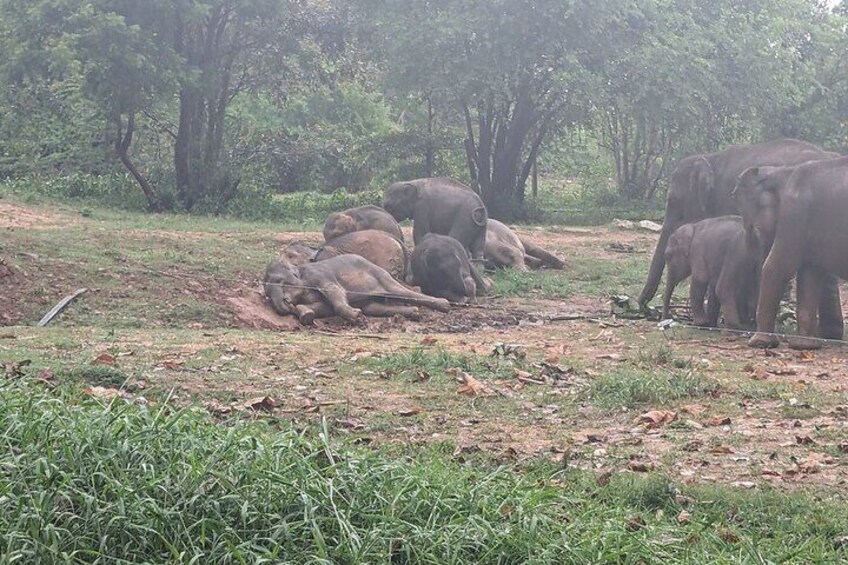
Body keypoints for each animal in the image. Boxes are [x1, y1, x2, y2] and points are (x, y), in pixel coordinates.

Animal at [264, 254, 450, 325]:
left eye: (282, 282)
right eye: (267, 295)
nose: (287, 302)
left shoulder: (319, 275)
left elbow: (335, 293)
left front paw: (357, 317)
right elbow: (325, 307)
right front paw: (306, 315)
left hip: (380, 276)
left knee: (399, 292)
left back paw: (444, 305)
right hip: (373, 299)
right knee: (375, 308)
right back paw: (414, 313)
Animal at [733, 159, 848, 349]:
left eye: (754, 229)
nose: (746, 325)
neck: (783, 171)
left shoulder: (795, 213)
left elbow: (777, 266)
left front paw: (759, 343)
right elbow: (810, 274)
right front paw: (805, 345)